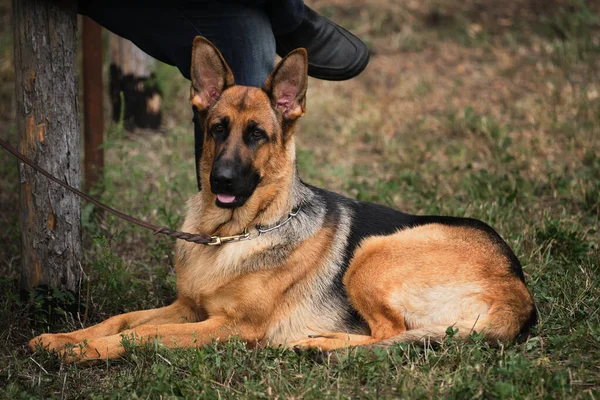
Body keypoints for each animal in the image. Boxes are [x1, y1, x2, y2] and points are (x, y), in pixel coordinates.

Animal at [28, 37, 536, 362]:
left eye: (257, 135)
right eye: (217, 129)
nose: (221, 180)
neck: (230, 235)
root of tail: (519, 293)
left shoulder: (230, 327)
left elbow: (147, 333)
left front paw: (84, 351)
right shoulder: (191, 309)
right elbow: (123, 319)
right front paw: (64, 338)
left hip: (372, 254)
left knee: (392, 334)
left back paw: (321, 344)